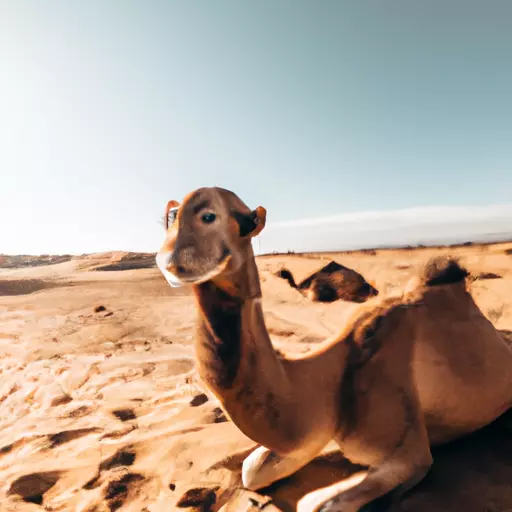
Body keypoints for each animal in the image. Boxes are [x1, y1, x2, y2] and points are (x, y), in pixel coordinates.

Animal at [156, 188, 512, 512]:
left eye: (209, 216)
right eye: (171, 218)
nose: (168, 260)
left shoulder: (407, 452)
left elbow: (313, 504)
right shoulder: (313, 434)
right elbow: (251, 469)